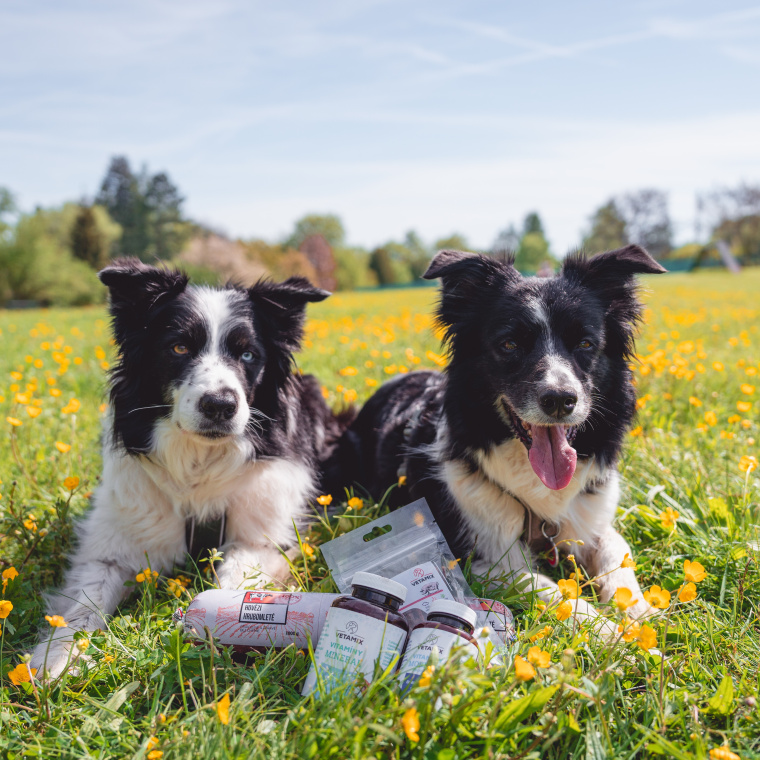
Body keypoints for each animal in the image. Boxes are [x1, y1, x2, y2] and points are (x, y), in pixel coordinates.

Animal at [32, 260, 344, 676]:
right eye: (179, 347)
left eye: (248, 355)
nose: (220, 405)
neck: (199, 464)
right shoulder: (111, 546)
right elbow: (83, 603)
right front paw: (57, 656)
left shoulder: (259, 538)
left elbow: (232, 585)